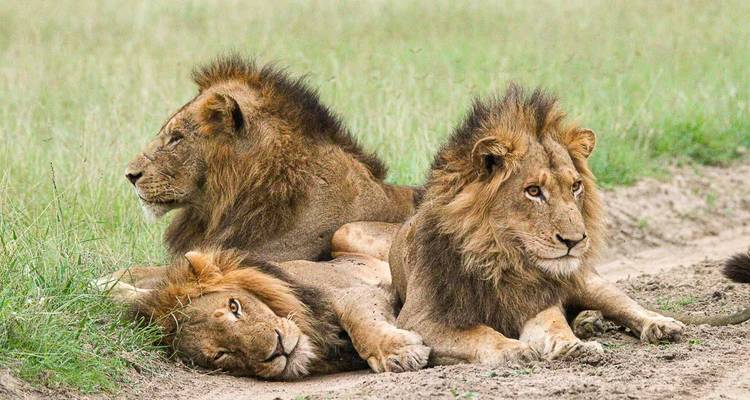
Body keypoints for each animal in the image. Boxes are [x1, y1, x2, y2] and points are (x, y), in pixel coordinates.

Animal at [95, 241, 429, 380]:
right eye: (222, 354)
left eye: (234, 306)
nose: (277, 350)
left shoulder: (353, 291)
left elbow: (361, 321)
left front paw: (399, 352)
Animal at [388, 84, 729, 365]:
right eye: (533, 191)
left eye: (575, 186)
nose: (575, 241)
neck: (501, 258)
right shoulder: (420, 320)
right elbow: (478, 332)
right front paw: (513, 349)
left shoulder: (539, 302)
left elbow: (554, 325)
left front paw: (574, 346)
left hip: (590, 283)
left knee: (626, 305)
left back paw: (656, 325)